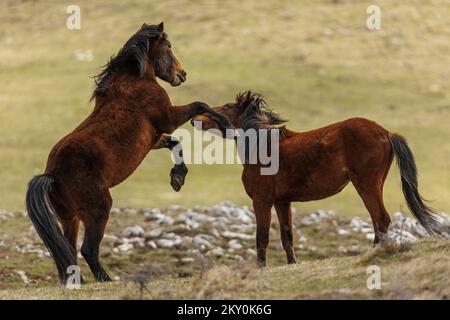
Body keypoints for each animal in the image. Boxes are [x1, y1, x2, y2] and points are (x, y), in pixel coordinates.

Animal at [25, 23, 232, 282]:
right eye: (168, 46)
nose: (182, 74)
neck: (135, 81)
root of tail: (51, 174)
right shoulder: (169, 118)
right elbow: (199, 105)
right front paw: (226, 124)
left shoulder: (155, 138)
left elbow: (175, 144)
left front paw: (177, 178)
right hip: (99, 209)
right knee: (87, 249)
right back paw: (106, 279)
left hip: (69, 217)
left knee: (68, 248)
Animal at [193, 91, 440, 266]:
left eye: (226, 107)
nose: (197, 119)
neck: (263, 146)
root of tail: (387, 133)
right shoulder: (282, 202)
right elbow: (287, 236)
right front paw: (292, 264)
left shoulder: (262, 201)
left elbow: (261, 237)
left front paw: (260, 268)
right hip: (375, 185)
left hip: (366, 185)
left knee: (381, 218)